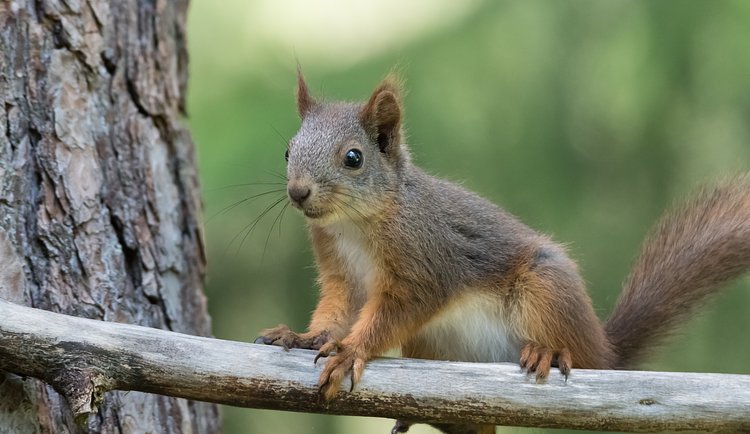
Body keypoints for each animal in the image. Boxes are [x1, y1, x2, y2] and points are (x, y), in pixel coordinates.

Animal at [255, 71, 750, 434]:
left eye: (354, 158)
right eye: (287, 151)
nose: (298, 192)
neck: (354, 224)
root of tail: (607, 352)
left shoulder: (425, 265)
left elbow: (393, 312)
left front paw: (349, 351)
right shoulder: (342, 274)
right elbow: (336, 311)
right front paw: (305, 336)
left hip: (545, 287)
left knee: (576, 355)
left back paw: (549, 353)